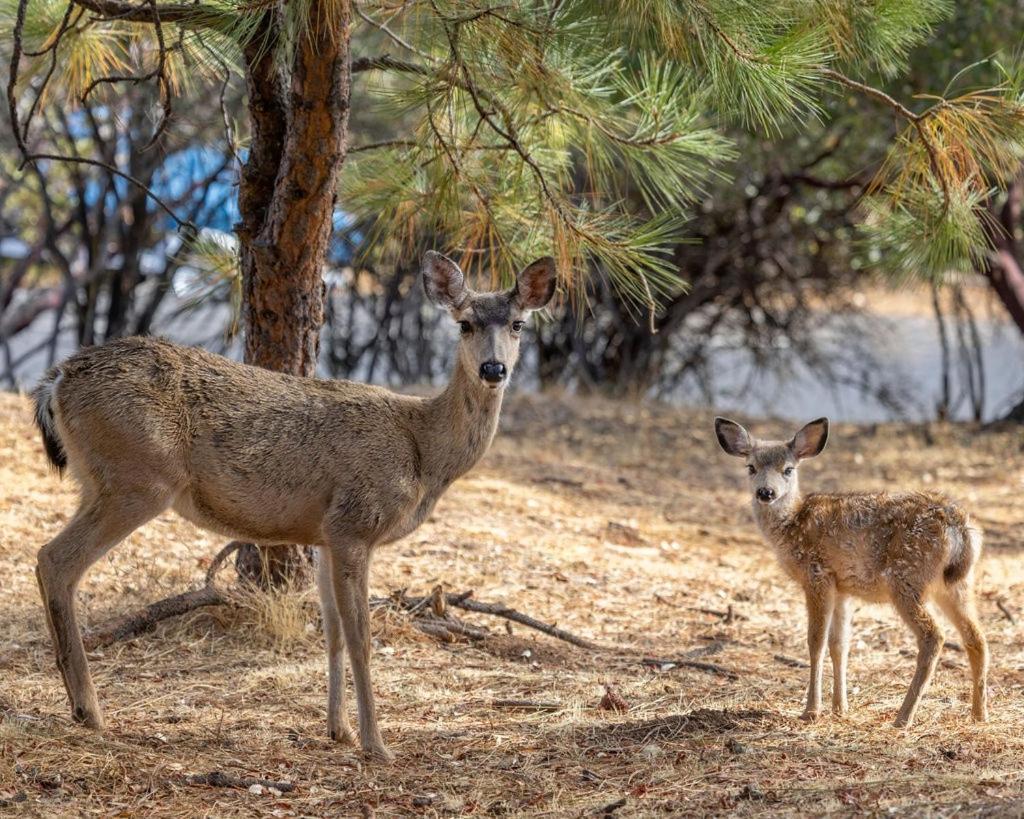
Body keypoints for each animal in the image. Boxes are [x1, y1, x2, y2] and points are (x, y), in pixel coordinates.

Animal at [32, 250, 557, 761]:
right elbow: (363, 638)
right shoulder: (355, 523)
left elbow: (333, 633)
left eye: (518, 324)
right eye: (464, 324)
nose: (494, 370)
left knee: (51, 557)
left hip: (102, 482)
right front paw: (376, 744)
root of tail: (56, 380)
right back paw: (89, 710)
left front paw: (339, 730)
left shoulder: (324, 535)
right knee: (55, 559)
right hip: (137, 478)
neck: (422, 449)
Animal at [716, 419, 987, 724]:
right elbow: (839, 645)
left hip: (905, 578)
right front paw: (840, 708)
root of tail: (959, 527)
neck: (791, 525)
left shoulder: (817, 575)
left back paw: (903, 717)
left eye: (788, 469)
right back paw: (979, 714)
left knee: (934, 636)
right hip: (956, 584)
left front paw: (811, 711)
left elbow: (816, 642)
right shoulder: (842, 587)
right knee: (976, 637)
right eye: (750, 467)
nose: (765, 492)